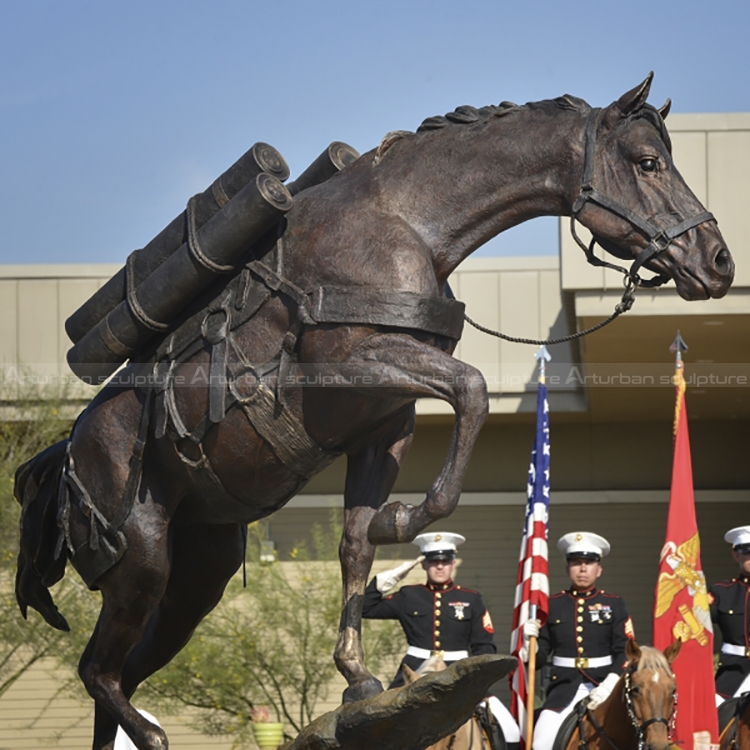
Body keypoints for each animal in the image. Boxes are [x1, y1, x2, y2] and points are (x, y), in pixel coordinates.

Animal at [16, 72, 736, 750]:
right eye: (647, 161)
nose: (720, 262)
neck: (405, 224)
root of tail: (67, 454)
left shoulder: (385, 422)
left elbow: (356, 540)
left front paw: (358, 665)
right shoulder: (361, 363)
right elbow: (473, 392)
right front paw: (404, 524)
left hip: (195, 580)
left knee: (117, 675)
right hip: (142, 562)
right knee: (98, 673)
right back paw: (154, 734)